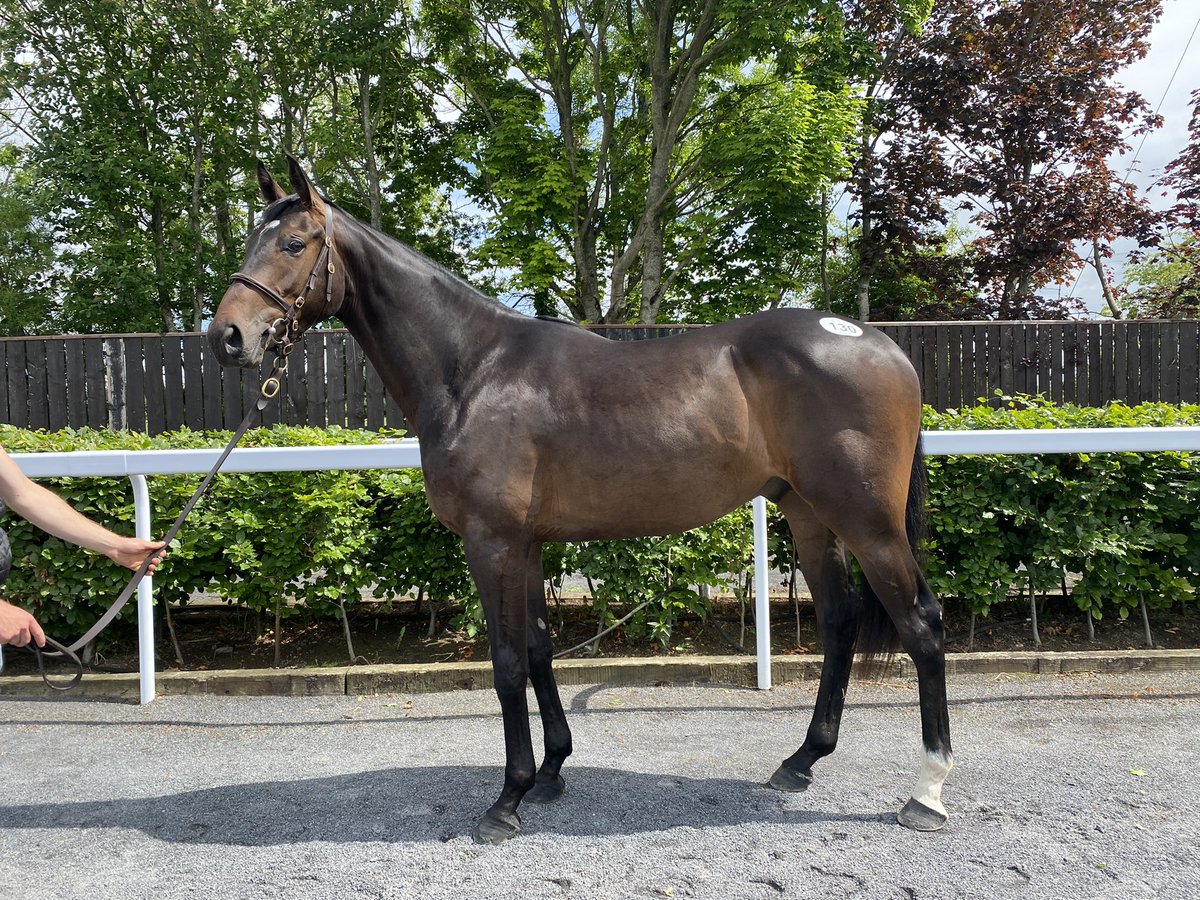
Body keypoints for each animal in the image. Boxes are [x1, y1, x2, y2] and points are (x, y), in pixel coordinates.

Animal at [208, 157, 953, 844]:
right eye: (252, 238)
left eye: (294, 243)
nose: (227, 338)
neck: (473, 371)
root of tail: (884, 346)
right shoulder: (528, 545)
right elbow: (539, 649)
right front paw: (550, 772)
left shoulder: (491, 542)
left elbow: (506, 662)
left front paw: (506, 800)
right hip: (807, 513)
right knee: (839, 621)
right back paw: (801, 761)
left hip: (867, 522)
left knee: (921, 624)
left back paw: (927, 792)